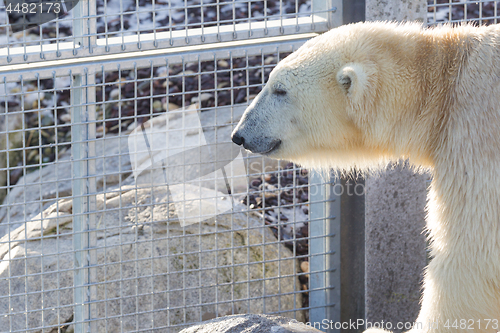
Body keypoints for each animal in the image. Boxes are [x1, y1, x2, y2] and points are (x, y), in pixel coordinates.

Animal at [232, 21, 500, 332]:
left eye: (280, 90)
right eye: (270, 82)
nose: (239, 134)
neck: (442, 87)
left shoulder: (475, 135)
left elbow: (472, 257)